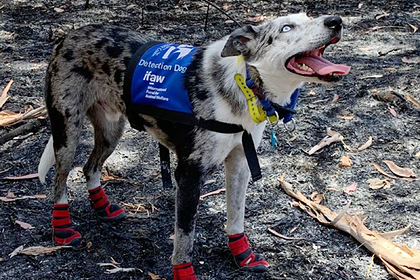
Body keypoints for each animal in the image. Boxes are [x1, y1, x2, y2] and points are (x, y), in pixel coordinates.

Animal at [37, 13, 352, 280]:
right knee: (60, 178)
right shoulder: (189, 176)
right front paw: (185, 272)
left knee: (90, 167)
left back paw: (102, 207)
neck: (245, 85)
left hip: (112, 130)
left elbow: (236, 218)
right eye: (287, 28)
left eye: (308, 17)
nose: (336, 21)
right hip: (67, 132)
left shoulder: (240, 164)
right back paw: (62, 229)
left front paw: (244, 257)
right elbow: (185, 237)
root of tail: (69, 35)